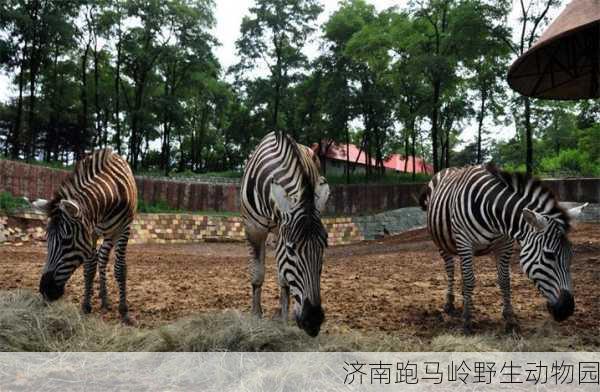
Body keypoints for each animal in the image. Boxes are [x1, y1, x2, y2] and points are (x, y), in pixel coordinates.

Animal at [32, 149, 137, 324]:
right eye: (47, 240)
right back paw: (100, 295)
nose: (45, 290)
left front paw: (124, 311)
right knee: (99, 259)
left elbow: (120, 269)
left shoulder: (124, 229)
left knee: (103, 257)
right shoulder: (90, 233)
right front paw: (86, 306)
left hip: (111, 234)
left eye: (66, 240)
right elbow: (89, 268)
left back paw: (104, 297)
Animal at [241, 132, 330, 336]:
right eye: (291, 250)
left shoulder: (282, 230)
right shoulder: (253, 228)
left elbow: (284, 279)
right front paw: (256, 316)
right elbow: (257, 273)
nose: (313, 321)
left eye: (324, 248)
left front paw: (283, 319)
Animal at [422, 164, 584, 332]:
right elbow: (469, 279)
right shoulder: (464, 241)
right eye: (549, 256)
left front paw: (509, 317)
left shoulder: (505, 245)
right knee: (450, 270)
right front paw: (466, 320)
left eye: (571, 255)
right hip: (442, 242)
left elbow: (504, 280)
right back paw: (450, 302)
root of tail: (449, 168)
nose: (567, 310)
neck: (492, 212)